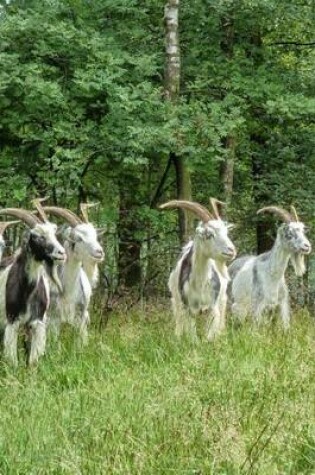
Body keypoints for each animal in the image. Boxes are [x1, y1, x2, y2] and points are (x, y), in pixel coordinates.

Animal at [0, 206, 66, 366]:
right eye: (37, 236)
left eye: (54, 233)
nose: (61, 253)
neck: (27, 291)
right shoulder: (12, 321)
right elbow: (13, 361)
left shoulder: (37, 322)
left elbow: (33, 361)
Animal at [40, 205, 105, 342]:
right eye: (79, 238)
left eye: (95, 236)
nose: (99, 252)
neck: (68, 293)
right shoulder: (54, 320)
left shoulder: (80, 319)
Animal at [160, 200, 237, 342]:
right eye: (209, 234)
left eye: (226, 232)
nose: (231, 250)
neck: (200, 283)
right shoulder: (188, 308)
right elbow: (192, 338)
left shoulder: (212, 307)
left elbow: (209, 337)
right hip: (176, 300)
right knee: (178, 319)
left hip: (222, 299)